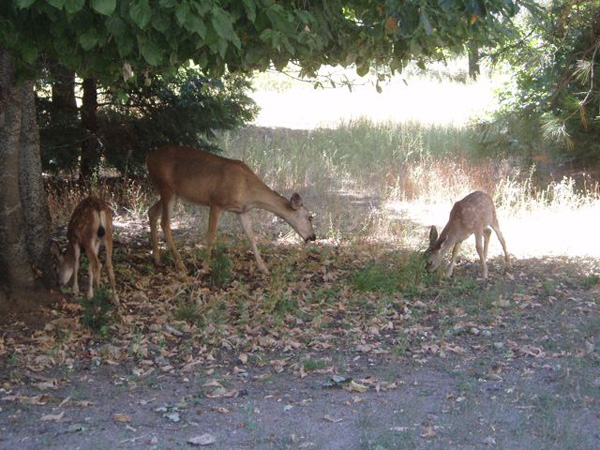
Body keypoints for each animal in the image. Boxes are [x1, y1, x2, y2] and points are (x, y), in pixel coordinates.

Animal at [147, 146, 316, 276]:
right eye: (310, 217)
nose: (313, 237)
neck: (248, 190)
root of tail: (149, 158)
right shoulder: (216, 202)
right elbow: (211, 236)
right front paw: (204, 268)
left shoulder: (242, 211)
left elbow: (251, 237)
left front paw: (264, 268)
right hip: (167, 188)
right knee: (165, 223)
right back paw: (181, 265)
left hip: (171, 193)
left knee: (151, 212)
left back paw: (157, 258)